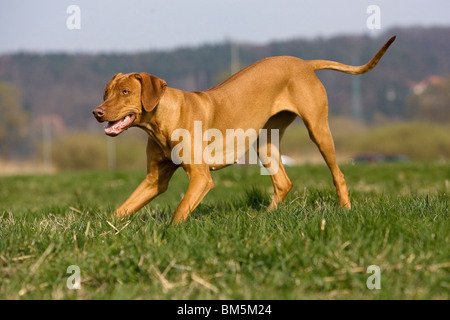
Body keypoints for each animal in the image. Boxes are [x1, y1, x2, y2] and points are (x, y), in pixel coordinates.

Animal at [93, 36, 396, 224]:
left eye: (125, 92)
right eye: (106, 92)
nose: (97, 112)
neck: (161, 121)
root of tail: (303, 63)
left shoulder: (201, 177)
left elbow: (180, 211)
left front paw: (170, 234)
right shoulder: (154, 179)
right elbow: (122, 208)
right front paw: (102, 230)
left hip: (318, 129)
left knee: (338, 173)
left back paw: (345, 208)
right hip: (265, 141)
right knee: (283, 182)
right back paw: (265, 218)